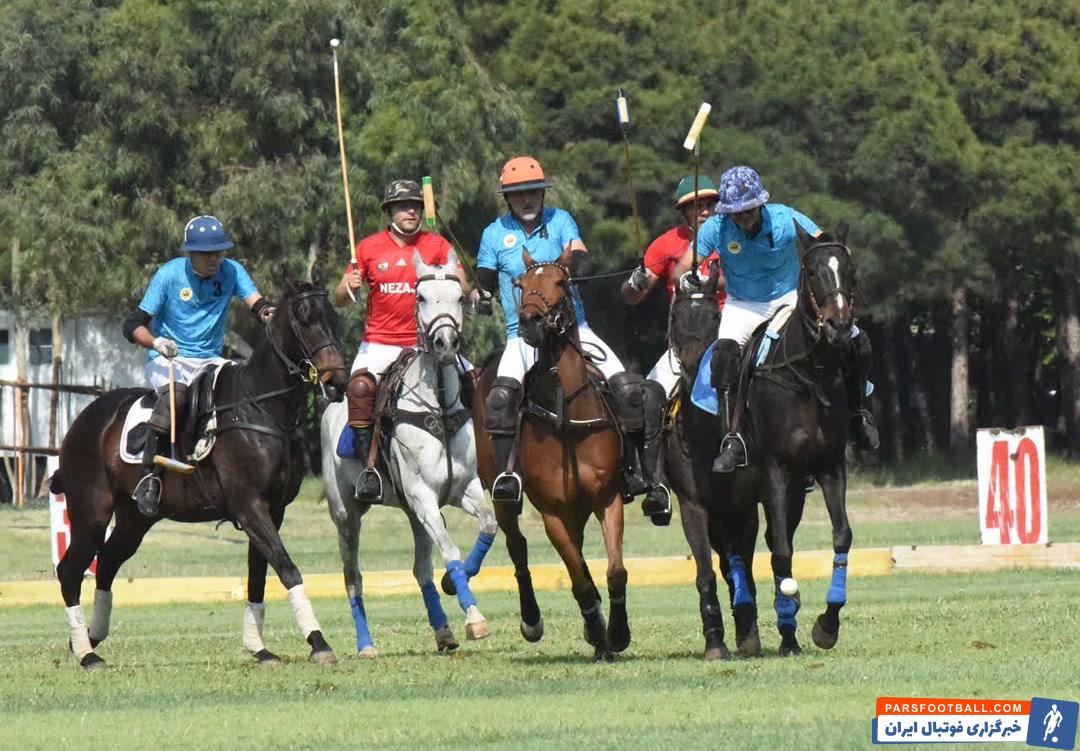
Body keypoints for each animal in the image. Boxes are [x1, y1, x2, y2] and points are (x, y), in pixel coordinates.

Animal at [52, 269, 348, 670]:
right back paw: (86, 653)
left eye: (332, 317)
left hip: (135, 518)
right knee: (70, 570)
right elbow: (287, 568)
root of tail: (82, 420)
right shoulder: (249, 507)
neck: (261, 410)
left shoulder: (273, 510)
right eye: (304, 319)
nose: (337, 381)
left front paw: (260, 649)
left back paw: (88, 638)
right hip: (91, 511)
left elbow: (259, 577)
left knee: (108, 563)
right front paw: (318, 642)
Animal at [320, 250, 496, 656]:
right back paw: (366, 645)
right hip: (346, 512)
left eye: (459, 297)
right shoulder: (423, 495)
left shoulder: (462, 488)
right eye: (421, 297)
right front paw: (475, 618)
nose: (446, 344)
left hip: (411, 511)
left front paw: (458, 585)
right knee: (352, 575)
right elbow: (450, 549)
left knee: (421, 570)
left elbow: (488, 525)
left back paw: (443, 632)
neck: (439, 406)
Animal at [472, 246, 630, 662]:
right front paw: (601, 639)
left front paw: (616, 634)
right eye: (521, 283)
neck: (566, 414)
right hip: (501, 494)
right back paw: (532, 620)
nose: (530, 322)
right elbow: (579, 581)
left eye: (561, 281)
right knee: (518, 547)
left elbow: (613, 571)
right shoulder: (553, 513)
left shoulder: (607, 497)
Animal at [659, 263, 763, 660]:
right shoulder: (693, 506)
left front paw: (748, 633)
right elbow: (705, 573)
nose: (692, 362)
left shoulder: (745, 507)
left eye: (715, 316)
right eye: (675, 316)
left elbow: (743, 568)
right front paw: (715, 641)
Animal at [722, 223, 860, 656]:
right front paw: (787, 629)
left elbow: (841, 537)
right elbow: (781, 550)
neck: (808, 373)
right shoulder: (774, 469)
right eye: (813, 271)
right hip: (728, 485)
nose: (839, 327)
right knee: (733, 544)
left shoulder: (829, 466)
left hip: (794, 488)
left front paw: (826, 624)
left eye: (849, 270)